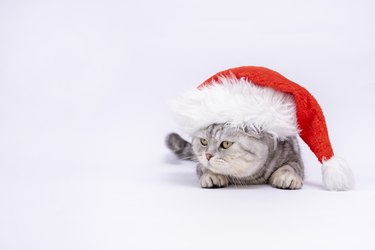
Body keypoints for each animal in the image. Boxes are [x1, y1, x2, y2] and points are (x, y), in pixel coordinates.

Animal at [167, 123, 306, 189]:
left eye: (226, 144)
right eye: (203, 141)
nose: (208, 155)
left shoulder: (294, 155)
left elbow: (291, 166)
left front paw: (286, 176)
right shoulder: (200, 163)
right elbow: (204, 168)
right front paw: (212, 175)